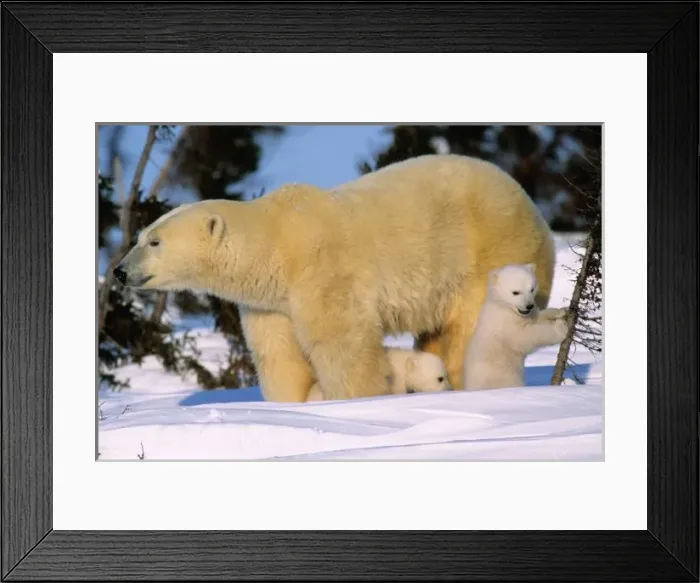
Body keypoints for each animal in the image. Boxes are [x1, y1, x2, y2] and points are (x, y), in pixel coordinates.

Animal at [463, 263, 570, 391]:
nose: (529, 305)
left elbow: (536, 318)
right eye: (516, 292)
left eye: (531, 289)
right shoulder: (504, 324)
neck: (504, 306)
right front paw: (560, 327)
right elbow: (523, 337)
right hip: (503, 378)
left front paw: (561, 311)